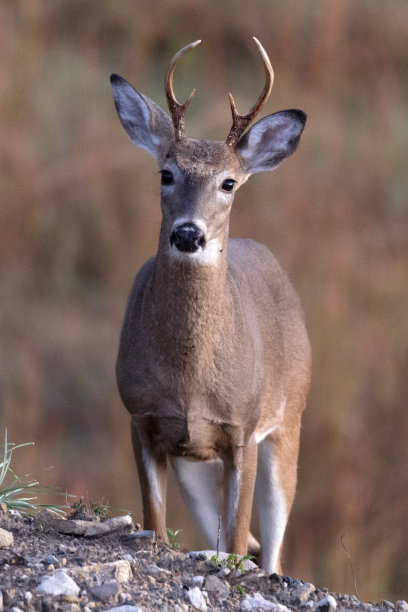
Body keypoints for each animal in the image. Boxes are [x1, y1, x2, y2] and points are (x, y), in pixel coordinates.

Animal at [110, 38, 310, 572]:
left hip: (290, 417)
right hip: (195, 463)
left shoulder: (243, 425)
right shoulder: (141, 416)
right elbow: (156, 524)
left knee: (270, 547)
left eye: (229, 183)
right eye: (166, 173)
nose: (188, 233)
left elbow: (240, 539)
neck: (191, 381)